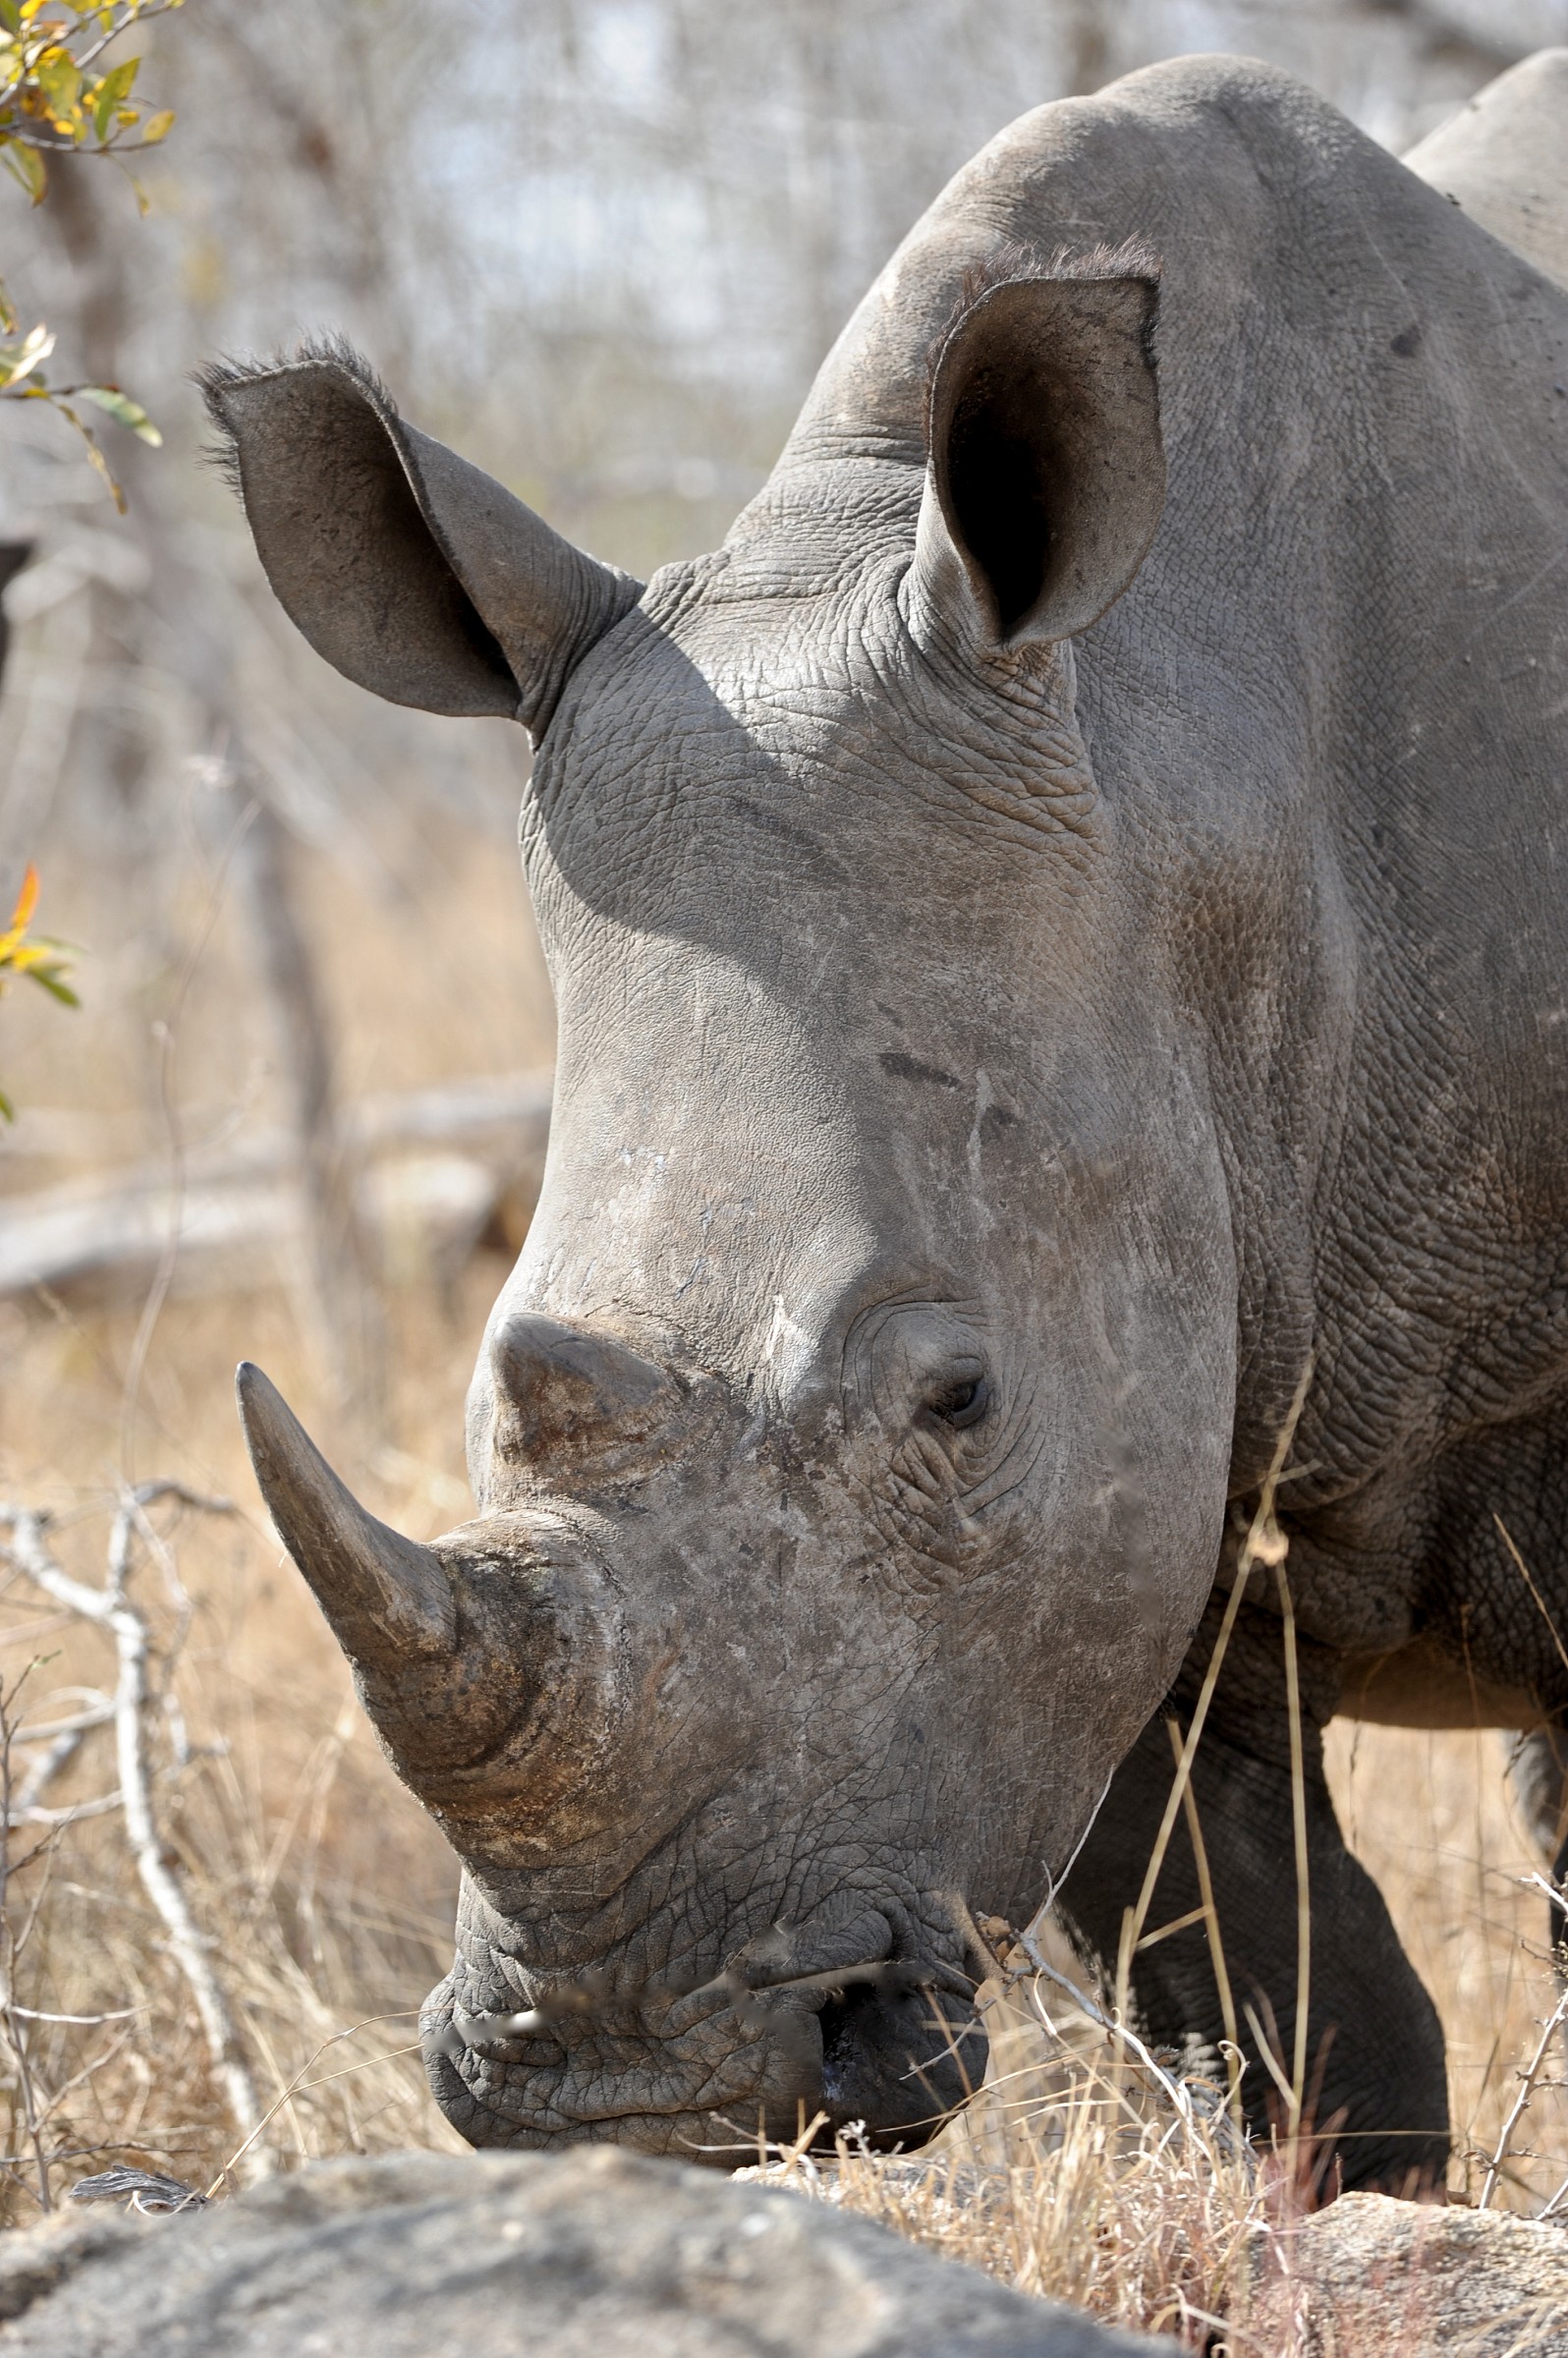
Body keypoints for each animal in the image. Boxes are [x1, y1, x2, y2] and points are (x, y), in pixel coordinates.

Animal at [209, 50, 1568, 2195]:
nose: (626, 2093)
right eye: (484, 1383)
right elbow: (1298, 2032)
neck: (1188, 765)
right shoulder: (1114, 1504)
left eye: (959, 1396)